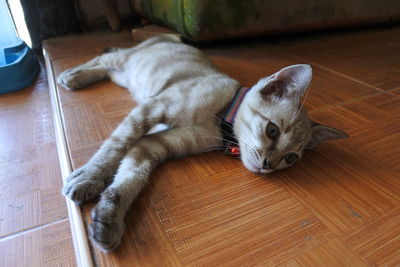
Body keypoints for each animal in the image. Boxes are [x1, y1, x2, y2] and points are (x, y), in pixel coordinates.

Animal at [57, 35, 348, 251]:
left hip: (127, 77)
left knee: (107, 70)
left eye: (290, 158)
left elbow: (130, 178)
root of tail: (168, 36)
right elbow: (114, 147)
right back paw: (71, 75)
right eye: (272, 130)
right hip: (128, 62)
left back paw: (78, 77)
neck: (217, 121)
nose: (269, 165)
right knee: (104, 57)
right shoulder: (150, 110)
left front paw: (107, 221)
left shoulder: (154, 144)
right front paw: (88, 178)